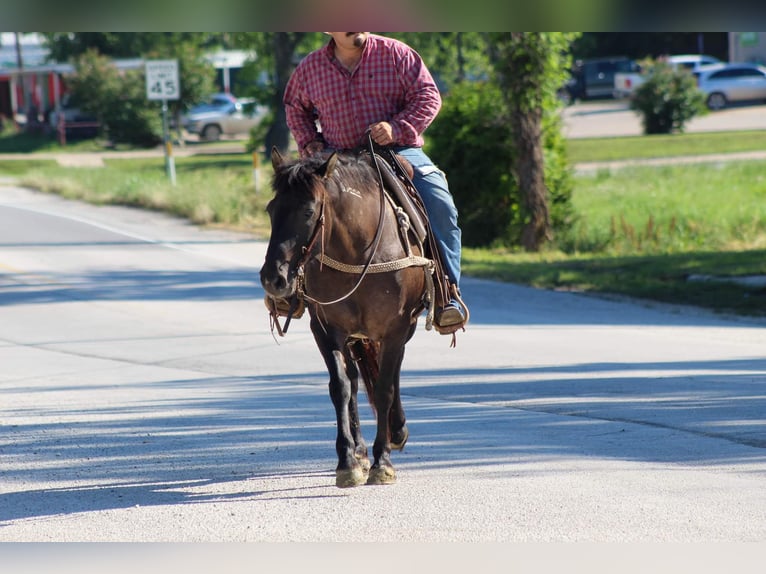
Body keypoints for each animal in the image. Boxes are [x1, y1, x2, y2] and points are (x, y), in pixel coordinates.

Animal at [262, 147, 436, 486]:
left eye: (308, 211)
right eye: (270, 209)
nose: (273, 278)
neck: (359, 253)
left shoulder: (396, 329)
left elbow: (384, 388)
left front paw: (383, 461)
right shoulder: (326, 329)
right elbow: (341, 387)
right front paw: (347, 461)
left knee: (390, 374)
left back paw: (396, 431)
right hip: (355, 336)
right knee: (355, 383)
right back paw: (360, 450)